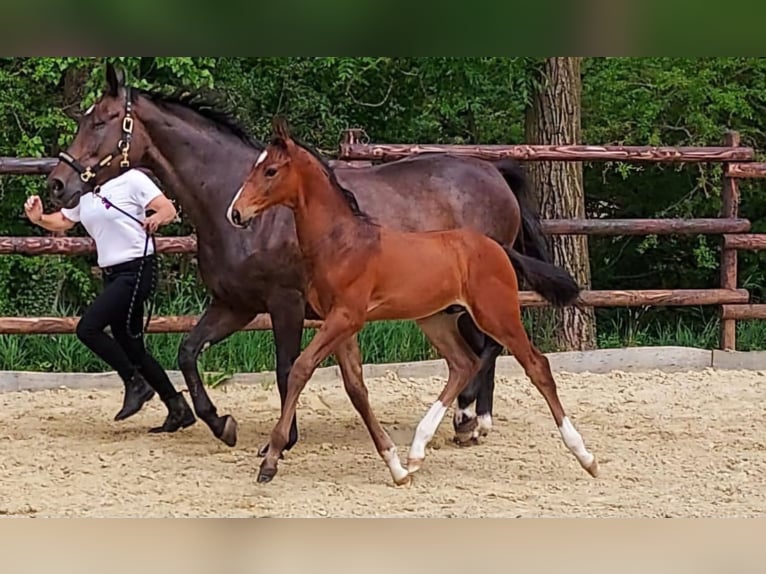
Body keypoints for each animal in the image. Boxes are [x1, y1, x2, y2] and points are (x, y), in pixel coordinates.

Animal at [228, 120, 600, 486]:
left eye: (271, 170)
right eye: (254, 166)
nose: (236, 213)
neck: (343, 243)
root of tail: (498, 248)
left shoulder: (346, 317)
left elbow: (300, 369)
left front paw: (271, 460)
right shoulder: (338, 323)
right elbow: (355, 388)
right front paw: (395, 467)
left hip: (496, 314)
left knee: (536, 365)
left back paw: (585, 457)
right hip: (436, 319)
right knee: (463, 364)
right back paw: (418, 450)